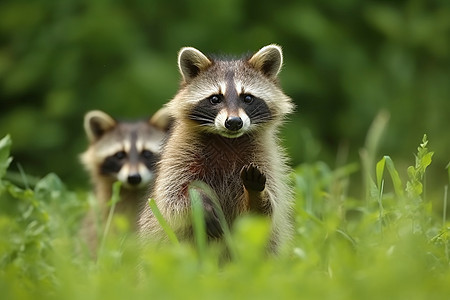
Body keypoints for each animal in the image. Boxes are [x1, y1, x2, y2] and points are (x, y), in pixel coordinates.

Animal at [141, 44, 296, 251]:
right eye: (215, 99)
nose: (234, 122)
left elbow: (264, 212)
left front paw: (256, 194)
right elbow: (171, 198)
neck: (228, 139)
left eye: (247, 98)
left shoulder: (265, 158)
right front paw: (198, 202)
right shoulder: (180, 152)